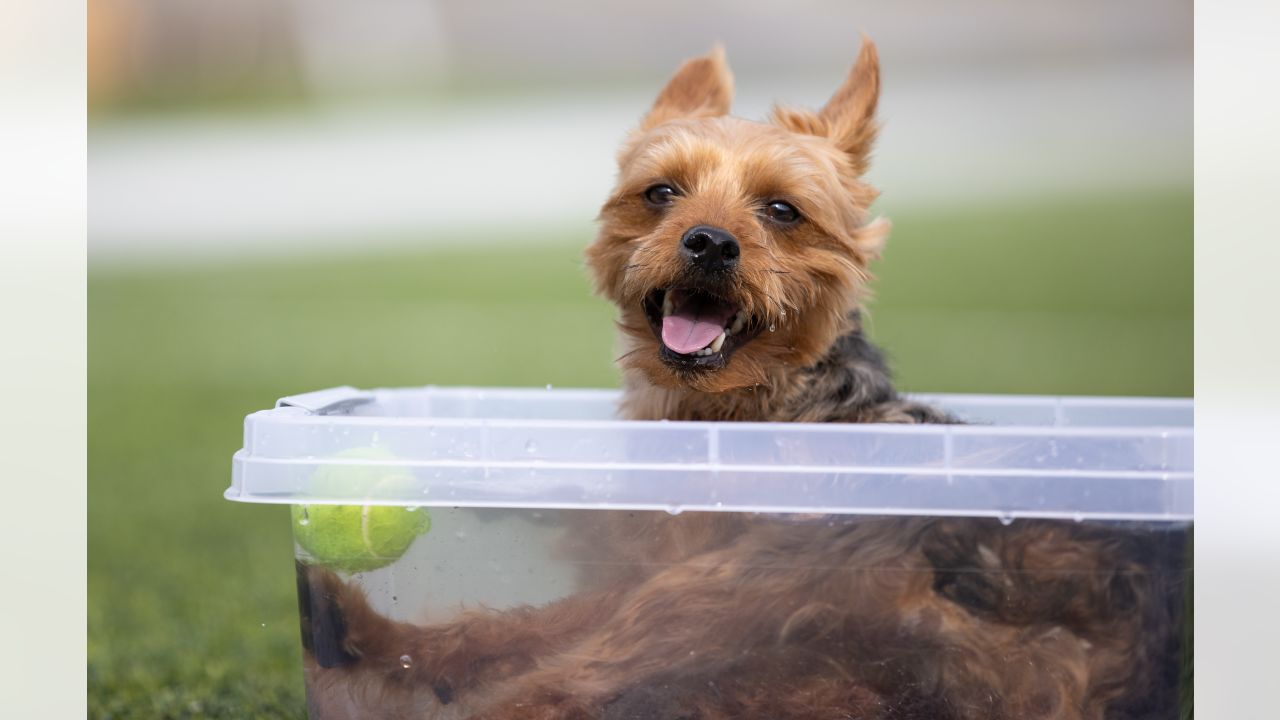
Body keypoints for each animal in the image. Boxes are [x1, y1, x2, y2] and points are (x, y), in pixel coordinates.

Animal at [294, 40, 1182, 717]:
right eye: (659, 193)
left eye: (783, 211)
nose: (710, 242)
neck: (747, 411)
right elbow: (524, 623)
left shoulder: (697, 580)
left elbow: (553, 642)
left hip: (741, 592)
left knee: (569, 677)